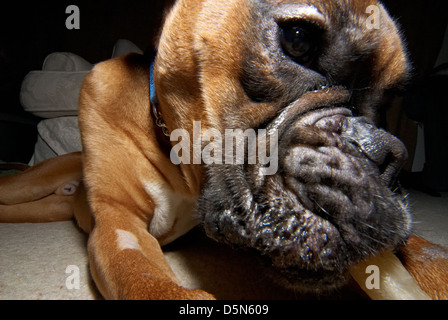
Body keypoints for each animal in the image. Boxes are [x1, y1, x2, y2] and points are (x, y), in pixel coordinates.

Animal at [0, 0, 448, 300]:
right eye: (297, 39)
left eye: (391, 101)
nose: (385, 153)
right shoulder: (118, 223)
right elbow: (144, 278)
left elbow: (420, 248)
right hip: (28, 187)